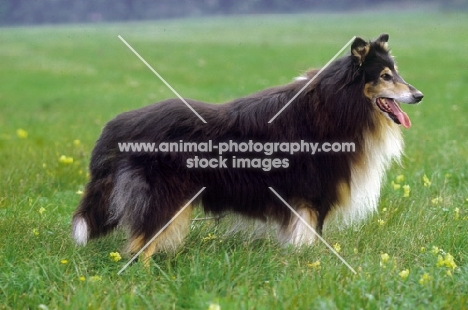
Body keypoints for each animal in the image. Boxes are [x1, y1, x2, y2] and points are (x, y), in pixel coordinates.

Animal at [72, 34, 424, 262]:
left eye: (396, 72)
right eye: (385, 75)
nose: (419, 95)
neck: (338, 103)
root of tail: (116, 127)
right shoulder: (314, 194)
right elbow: (311, 237)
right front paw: (310, 264)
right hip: (162, 197)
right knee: (139, 245)